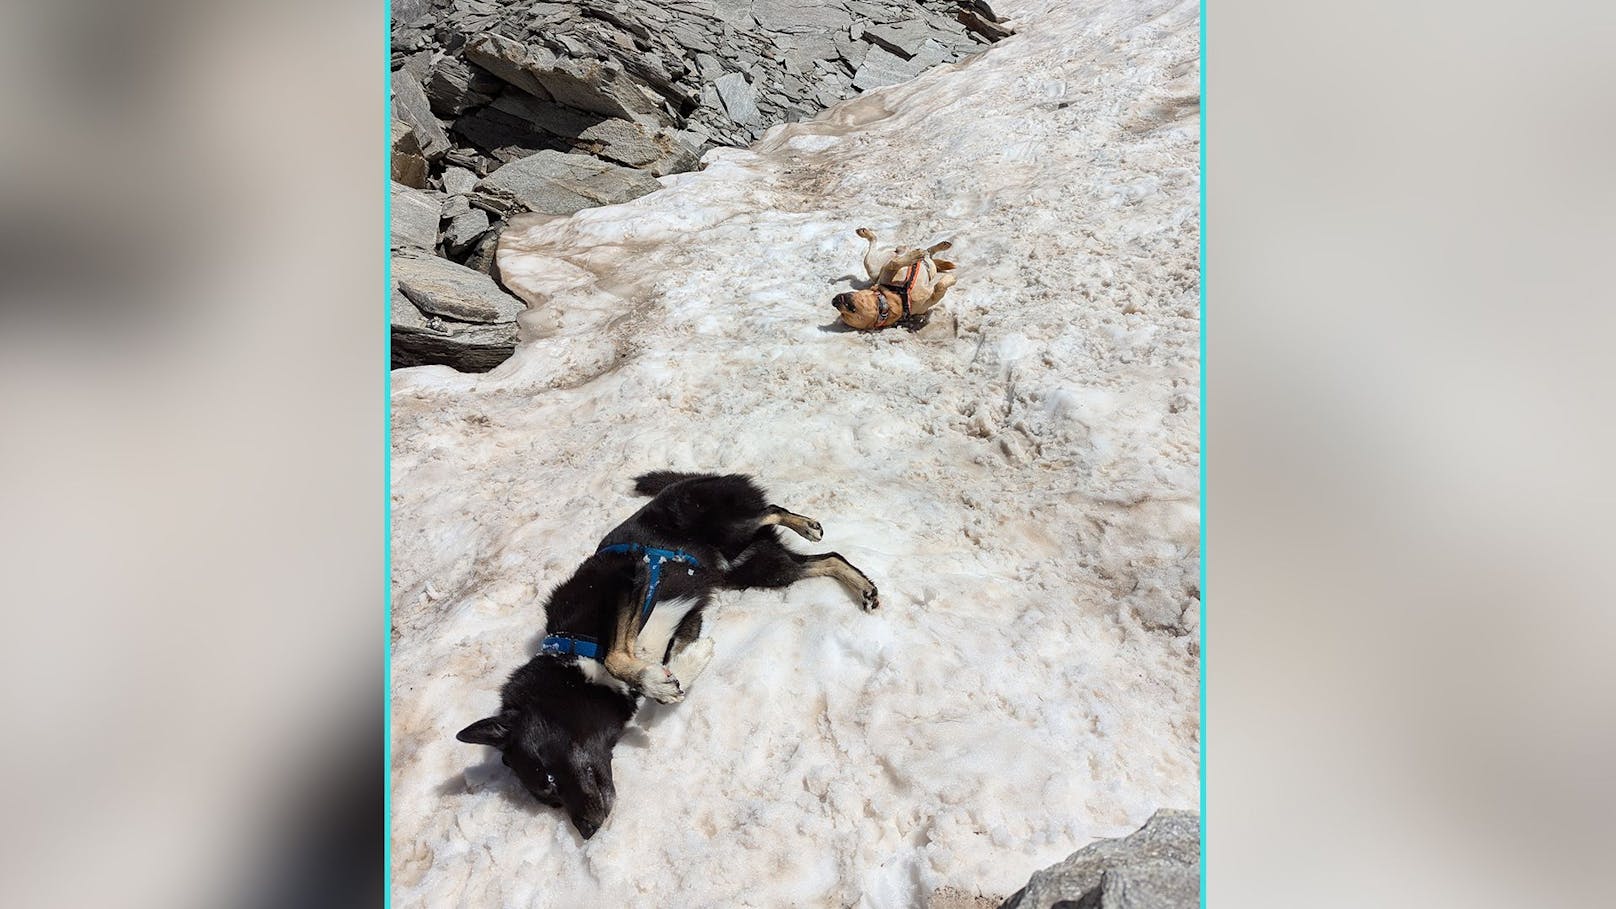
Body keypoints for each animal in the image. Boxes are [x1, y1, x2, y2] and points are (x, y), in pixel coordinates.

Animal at [455, 469, 885, 841]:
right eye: (549, 799)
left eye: (547, 778)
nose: (587, 831)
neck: (571, 657)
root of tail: (696, 478)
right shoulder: (680, 618)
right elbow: (666, 657)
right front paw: (683, 667)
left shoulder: (627, 578)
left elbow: (616, 655)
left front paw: (654, 682)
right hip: (758, 568)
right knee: (828, 558)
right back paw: (861, 585)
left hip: (727, 527)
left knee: (770, 509)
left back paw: (806, 524)